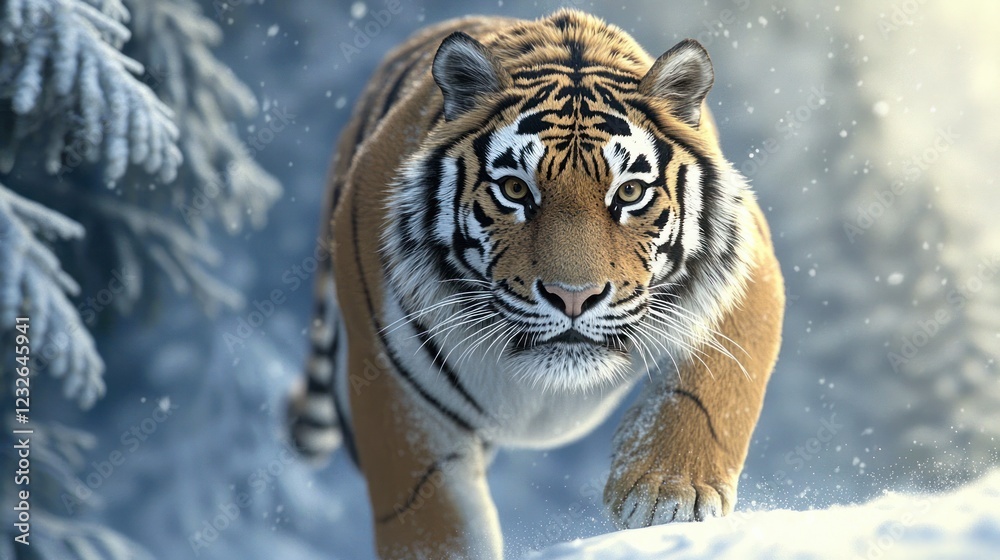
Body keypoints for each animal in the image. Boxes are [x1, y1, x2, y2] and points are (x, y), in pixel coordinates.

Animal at [287, 9, 784, 559]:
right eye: (514, 189)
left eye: (630, 191)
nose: (574, 296)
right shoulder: (395, 387)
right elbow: (431, 516)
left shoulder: (746, 264)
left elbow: (710, 392)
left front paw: (668, 495)